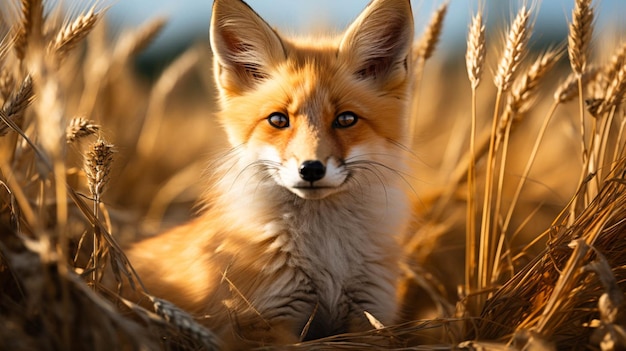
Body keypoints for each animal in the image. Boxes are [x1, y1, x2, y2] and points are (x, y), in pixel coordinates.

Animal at [125, 0, 414, 348]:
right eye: (278, 120)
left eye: (346, 119)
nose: (311, 168)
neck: (326, 256)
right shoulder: (262, 321)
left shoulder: (371, 315)